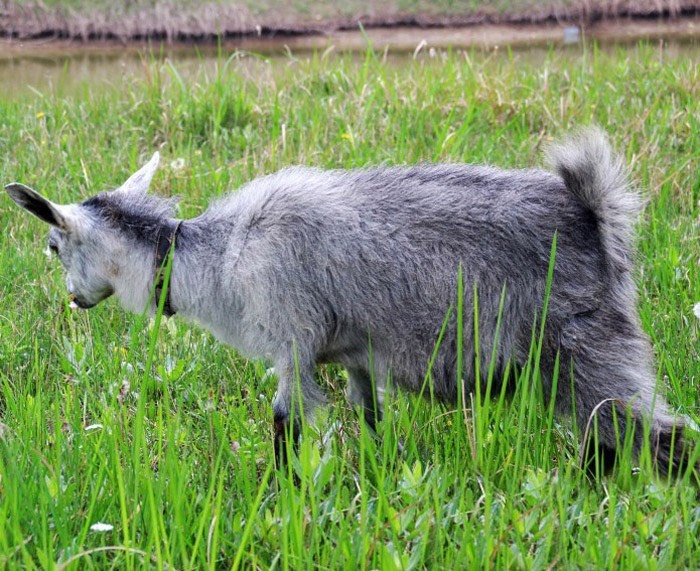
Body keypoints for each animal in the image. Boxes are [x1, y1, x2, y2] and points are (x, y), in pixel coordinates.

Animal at [5, 130, 692, 478]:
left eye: (52, 245)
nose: (73, 301)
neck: (220, 256)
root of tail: (595, 216)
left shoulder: (292, 345)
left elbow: (286, 425)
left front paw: (282, 495)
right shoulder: (359, 358)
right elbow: (372, 421)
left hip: (587, 348)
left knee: (658, 435)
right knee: (611, 437)